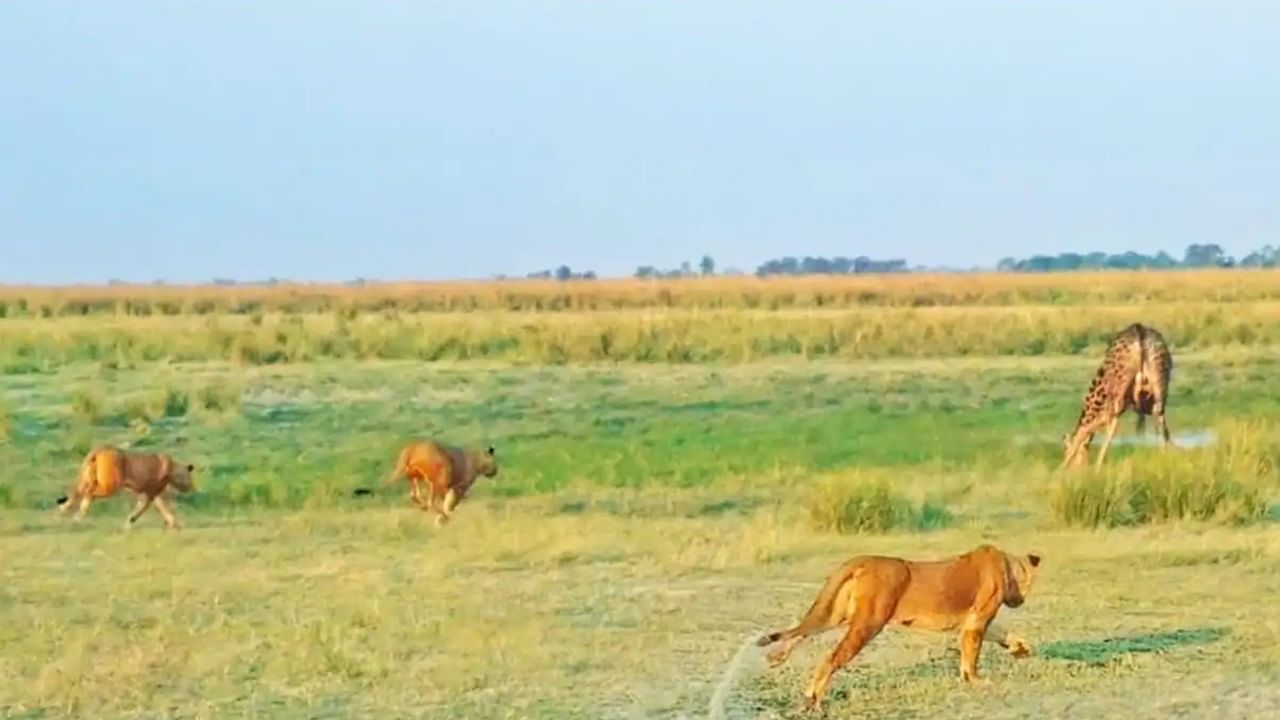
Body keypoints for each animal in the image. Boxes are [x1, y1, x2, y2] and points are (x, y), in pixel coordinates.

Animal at [1059, 322, 1172, 468]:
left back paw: (1098, 464)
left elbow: (1086, 432)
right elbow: (1163, 430)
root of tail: (1140, 331)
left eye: (1065, 450)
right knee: (1161, 421)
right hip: (1160, 384)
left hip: (1118, 393)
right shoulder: (1147, 405)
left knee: (1109, 428)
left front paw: (1062, 468)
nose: (1079, 468)